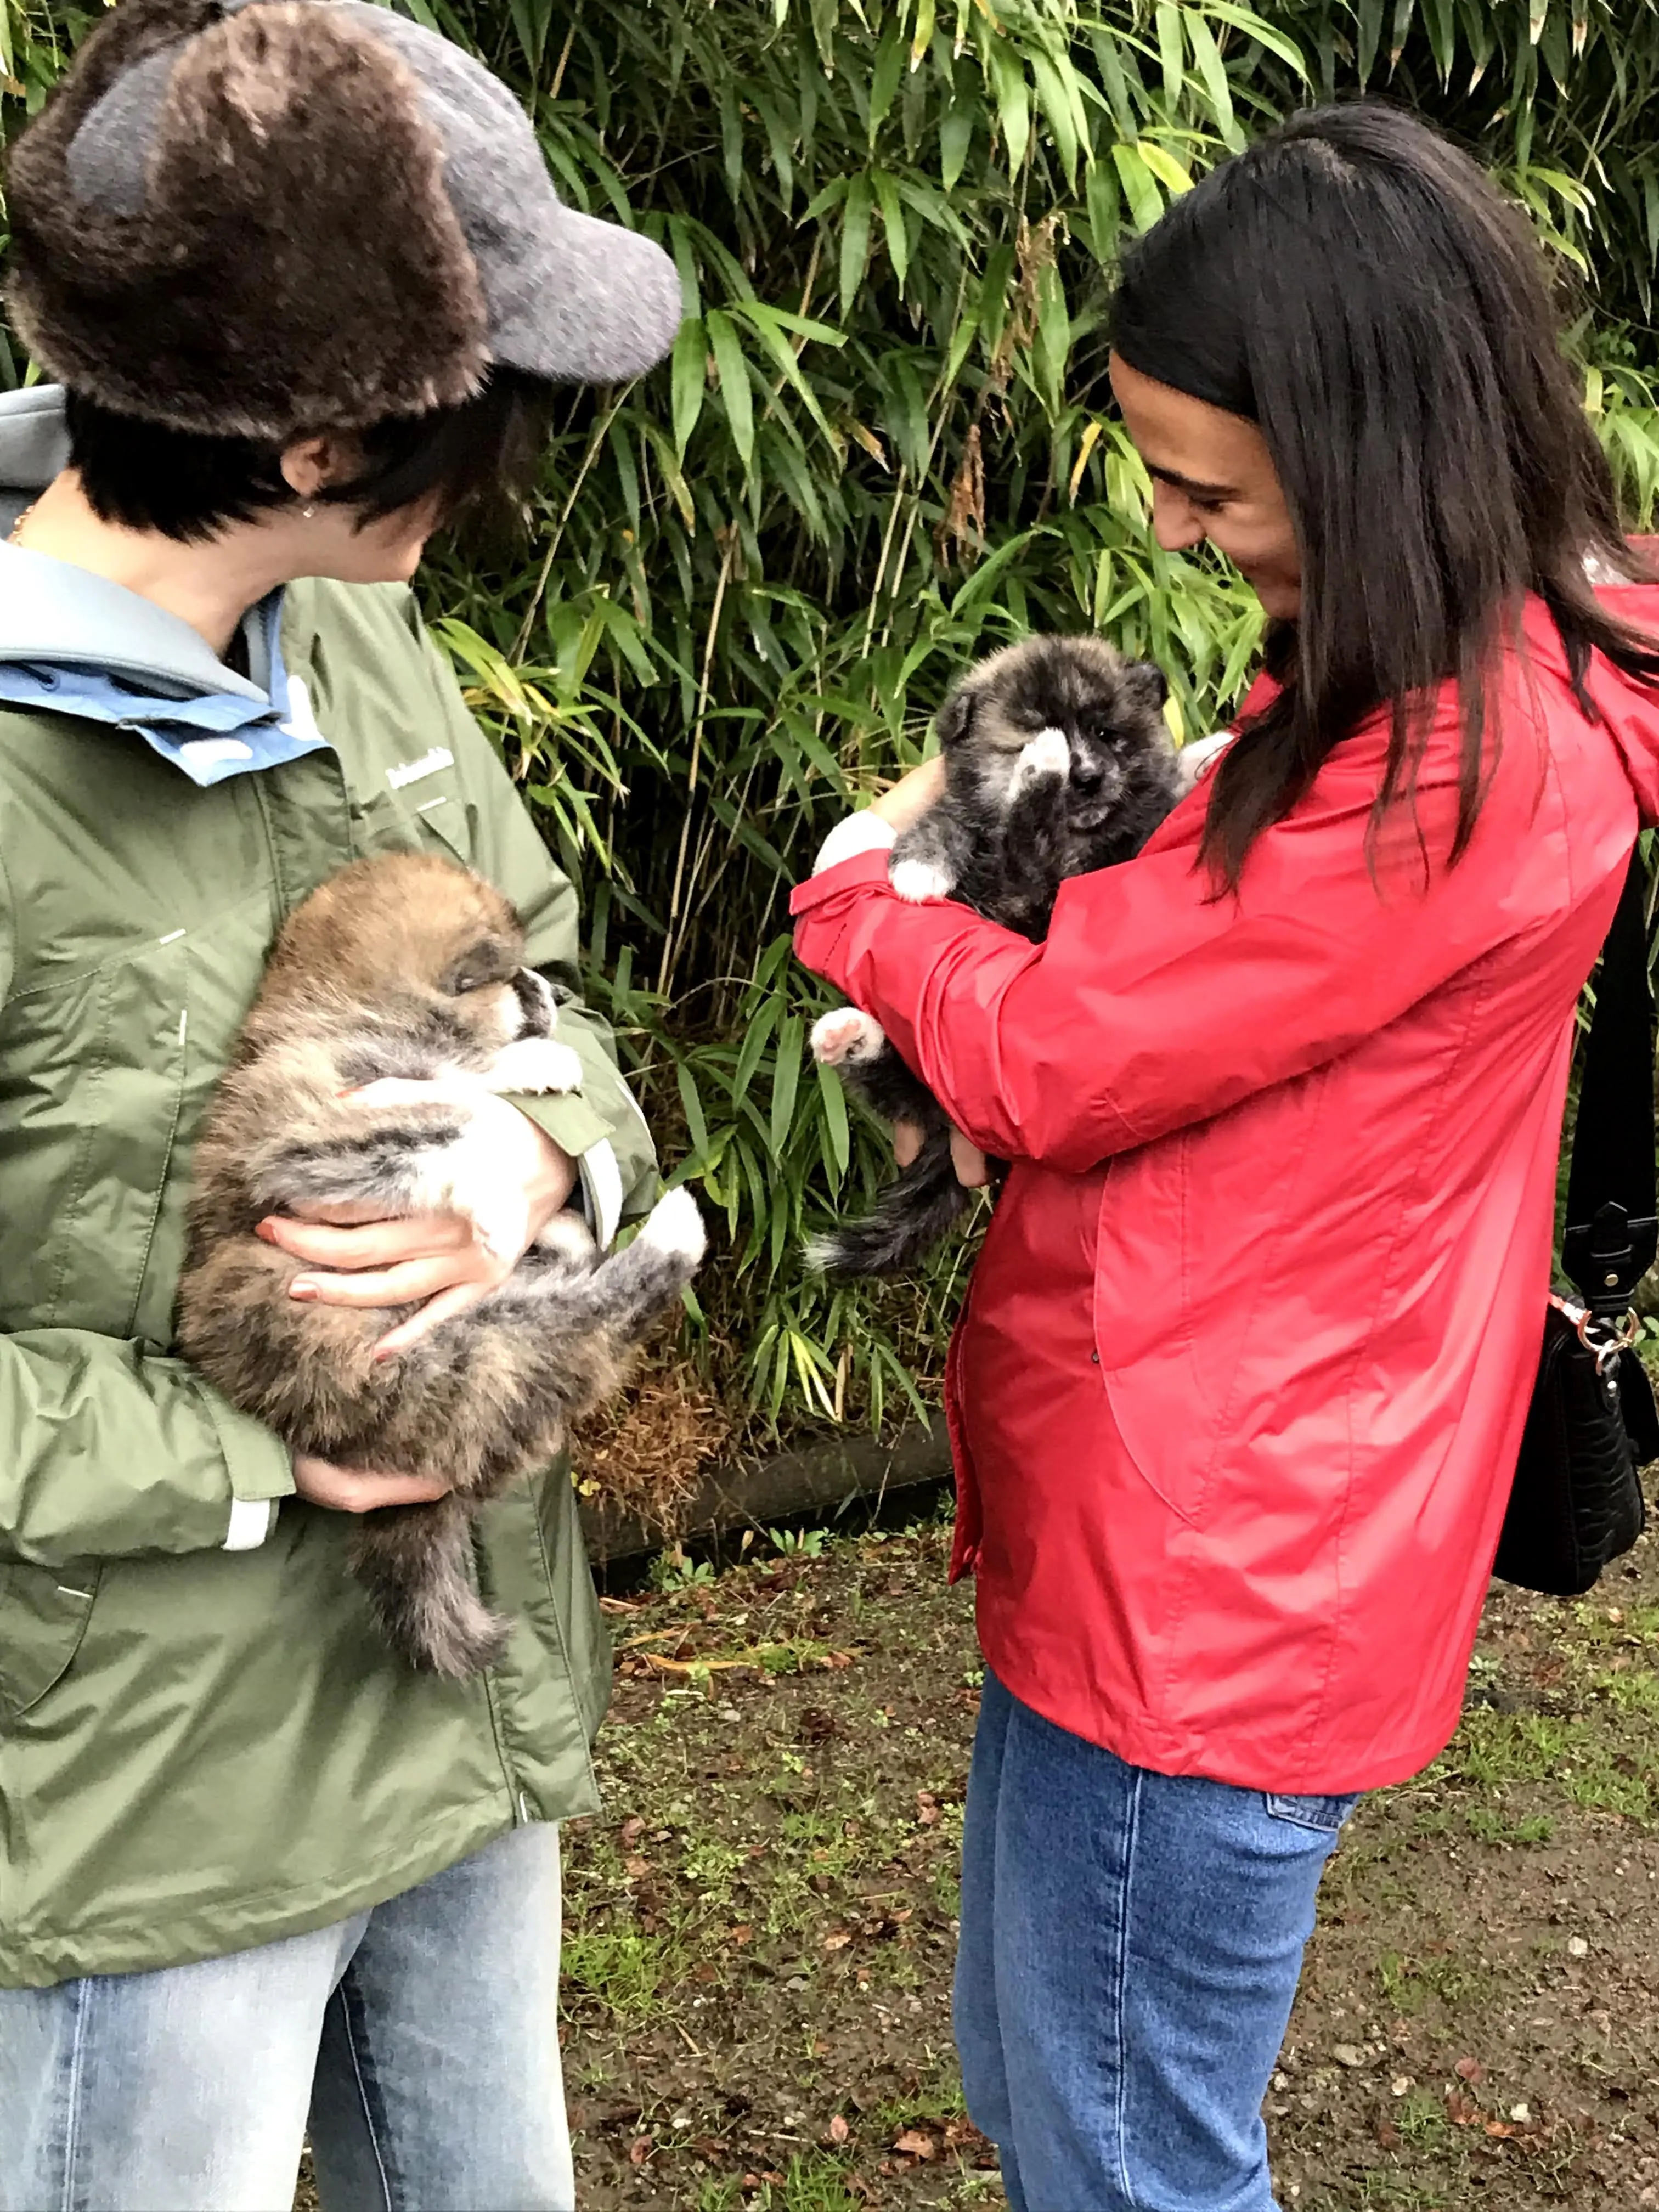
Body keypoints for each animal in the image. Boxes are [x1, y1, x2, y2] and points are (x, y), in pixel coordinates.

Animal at [177, 849, 708, 1672]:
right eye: (513, 975)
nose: (555, 991)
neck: (345, 1006)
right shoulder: (305, 1137)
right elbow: (447, 1130)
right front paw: (495, 1194)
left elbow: (459, 1084)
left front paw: (533, 1063)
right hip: (479, 1356)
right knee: (598, 1315)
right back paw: (672, 1231)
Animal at [809, 633, 1186, 1274]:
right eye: (1026, 733)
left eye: (1107, 733)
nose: (1086, 776)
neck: (1074, 846)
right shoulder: (996, 860)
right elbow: (958, 821)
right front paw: (919, 865)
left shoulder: (1033, 882)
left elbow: (1029, 836)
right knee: (897, 1088)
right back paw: (848, 1036)